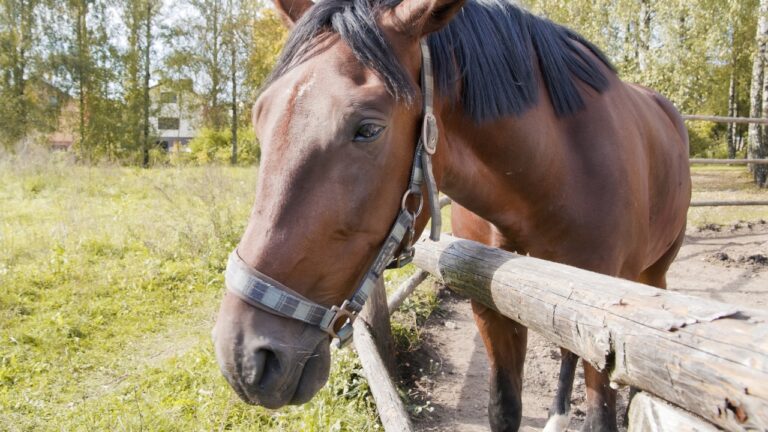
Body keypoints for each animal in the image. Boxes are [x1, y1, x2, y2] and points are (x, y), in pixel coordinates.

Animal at [211, 0, 692, 430]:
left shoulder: (602, 319)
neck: (557, 170)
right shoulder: (493, 305)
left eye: (368, 129)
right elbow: (504, 409)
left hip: (651, 275)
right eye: (259, 117)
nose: (244, 358)